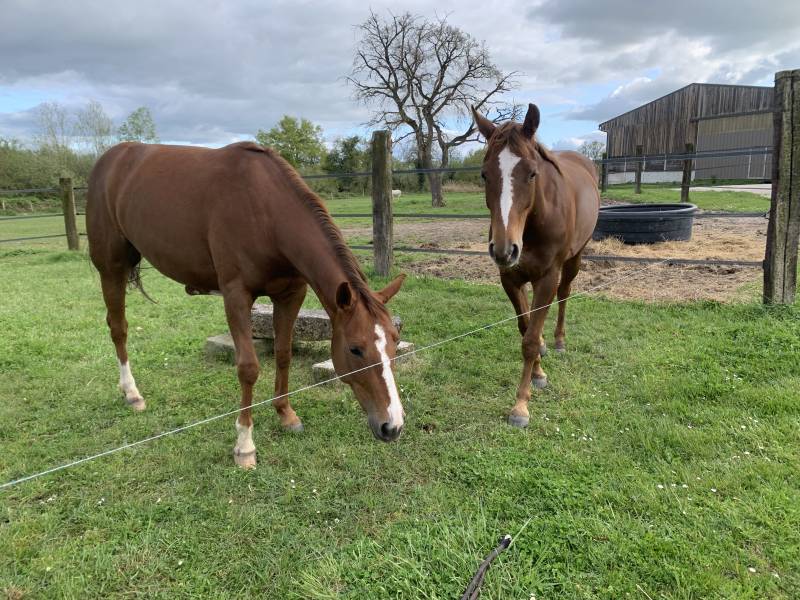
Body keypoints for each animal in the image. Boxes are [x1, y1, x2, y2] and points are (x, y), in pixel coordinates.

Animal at [86, 141, 406, 469]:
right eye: (355, 349)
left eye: (395, 341)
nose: (392, 426)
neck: (265, 212)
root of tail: (111, 158)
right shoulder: (236, 296)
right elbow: (248, 368)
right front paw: (244, 445)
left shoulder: (291, 295)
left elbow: (283, 354)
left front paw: (286, 415)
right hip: (110, 268)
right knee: (118, 328)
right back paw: (132, 393)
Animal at [472, 104, 600, 428]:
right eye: (484, 174)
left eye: (531, 173)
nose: (504, 249)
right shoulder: (510, 278)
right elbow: (525, 327)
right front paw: (539, 372)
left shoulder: (547, 277)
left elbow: (529, 340)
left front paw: (520, 406)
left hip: (574, 259)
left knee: (564, 295)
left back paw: (558, 340)